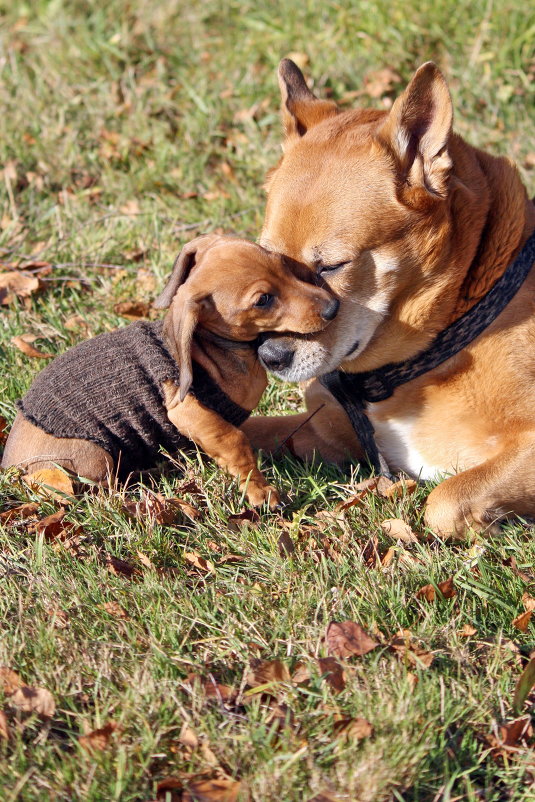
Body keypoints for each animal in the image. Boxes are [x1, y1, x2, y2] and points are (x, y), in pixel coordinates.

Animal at [3, 233, 340, 506]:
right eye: (263, 300)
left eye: (282, 265)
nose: (333, 307)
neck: (214, 351)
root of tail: (9, 467)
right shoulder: (185, 411)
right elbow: (235, 441)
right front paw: (258, 490)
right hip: (93, 455)